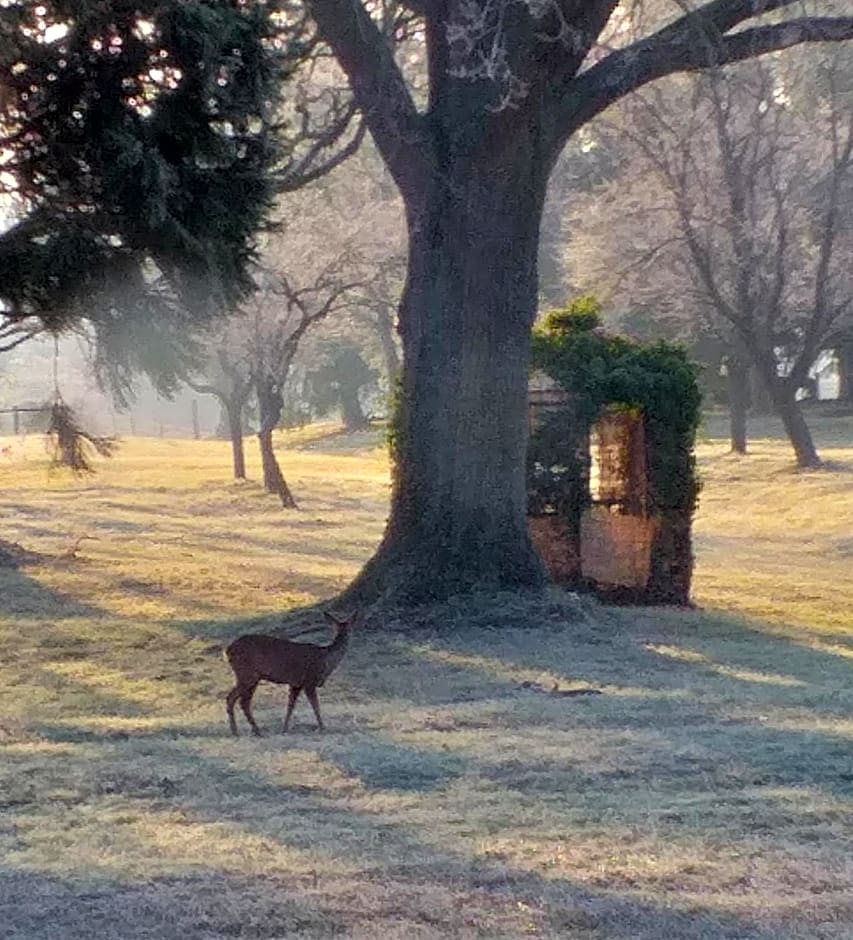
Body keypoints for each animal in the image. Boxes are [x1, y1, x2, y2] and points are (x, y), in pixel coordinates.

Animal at [223, 608, 356, 736]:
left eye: (349, 629)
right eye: (339, 629)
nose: (345, 637)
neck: (325, 659)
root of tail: (228, 649)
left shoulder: (296, 684)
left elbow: (290, 706)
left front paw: (285, 729)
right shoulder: (309, 680)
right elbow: (316, 706)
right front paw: (322, 727)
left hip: (250, 676)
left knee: (239, 701)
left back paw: (248, 731)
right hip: (247, 674)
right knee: (236, 699)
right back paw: (244, 731)